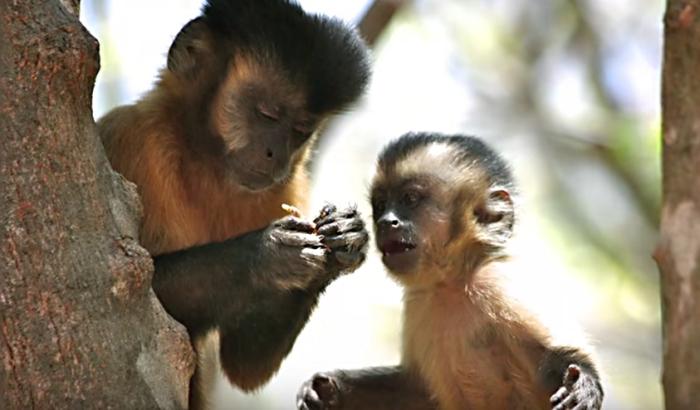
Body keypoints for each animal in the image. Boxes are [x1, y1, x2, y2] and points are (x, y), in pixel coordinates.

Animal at [298, 134, 604, 410]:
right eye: (381, 206)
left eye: (410, 199)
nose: (387, 222)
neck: (453, 281)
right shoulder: (418, 301)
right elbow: (416, 391)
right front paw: (328, 388)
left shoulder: (499, 283)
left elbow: (555, 359)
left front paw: (583, 384)